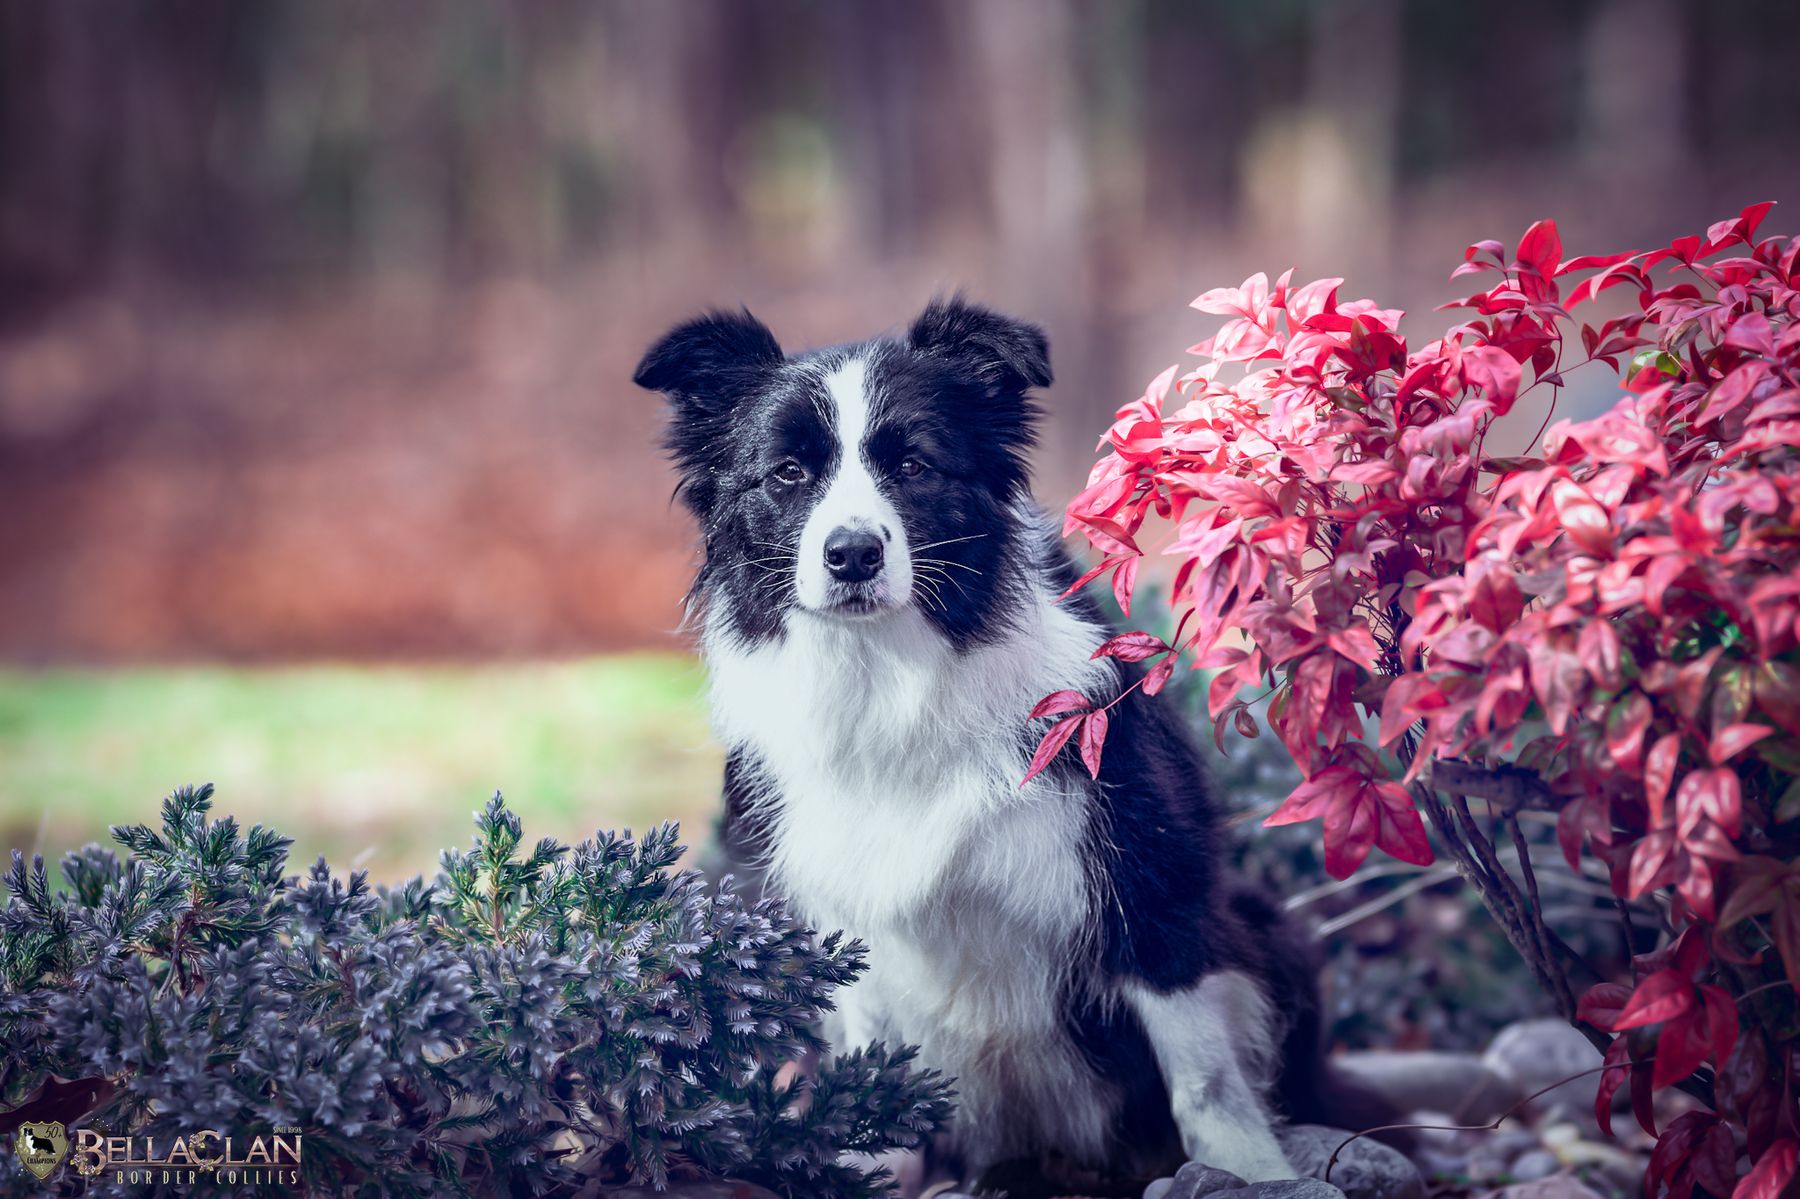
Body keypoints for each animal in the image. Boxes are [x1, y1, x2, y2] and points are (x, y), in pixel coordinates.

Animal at [633, 298, 1353, 1188]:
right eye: (788, 474)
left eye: (914, 464)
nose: (852, 554)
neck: (889, 678)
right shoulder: (839, 904)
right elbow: (874, 1073)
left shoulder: (1147, 874)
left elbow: (1204, 1073)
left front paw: (1253, 1170)